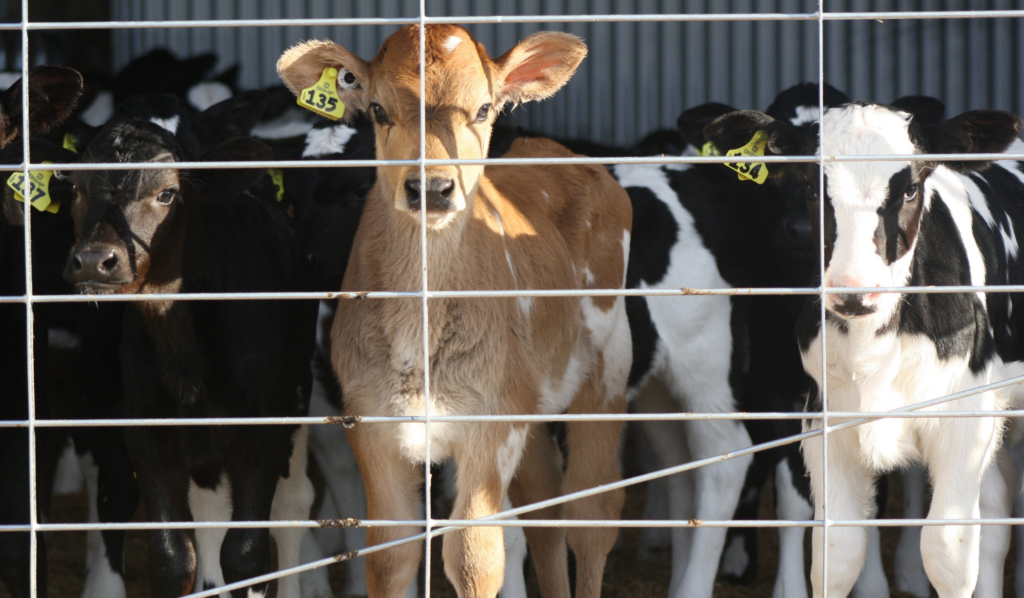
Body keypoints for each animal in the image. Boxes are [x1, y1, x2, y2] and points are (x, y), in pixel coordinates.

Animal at [62, 116, 319, 598]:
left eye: (167, 194)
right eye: (76, 188)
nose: (93, 260)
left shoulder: (264, 426)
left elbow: (247, 556)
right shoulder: (145, 426)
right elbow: (172, 558)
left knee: (294, 506)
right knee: (209, 513)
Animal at [278, 24, 633, 598]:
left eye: (484, 108)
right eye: (377, 109)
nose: (433, 187)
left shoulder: (491, 425)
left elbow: (472, 558)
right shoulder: (371, 421)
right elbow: (390, 556)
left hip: (608, 367)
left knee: (591, 513)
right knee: (544, 505)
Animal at [705, 99, 1024, 598]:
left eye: (911, 189)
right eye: (810, 189)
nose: (854, 291)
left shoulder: (963, 420)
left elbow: (948, 556)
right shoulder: (825, 420)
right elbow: (835, 557)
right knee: (996, 504)